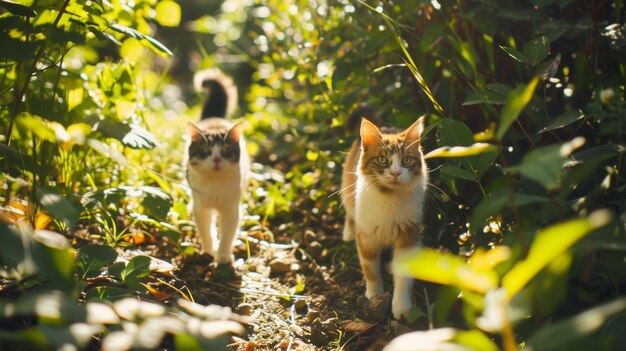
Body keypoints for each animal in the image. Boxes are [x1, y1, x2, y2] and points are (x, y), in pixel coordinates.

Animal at [184, 70, 247, 266]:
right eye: (205, 151)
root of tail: (213, 117)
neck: (215, 184)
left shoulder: (231, 208)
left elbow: (227, 234)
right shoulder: (200, 207)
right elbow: (206, 231)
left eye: (226, 151)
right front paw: (208, 251)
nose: (217, 159)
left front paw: (224, 256)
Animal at [338, 115, 426, 320]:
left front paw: (401, 306)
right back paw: (347, 233)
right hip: (348, 190)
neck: (389, 198)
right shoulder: (366, 236)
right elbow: (370, 270)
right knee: (349, 212)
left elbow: (403, 277)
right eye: (382, 160)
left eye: (406, 160)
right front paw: (375, 295)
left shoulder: (408, 233)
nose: (395, 173)